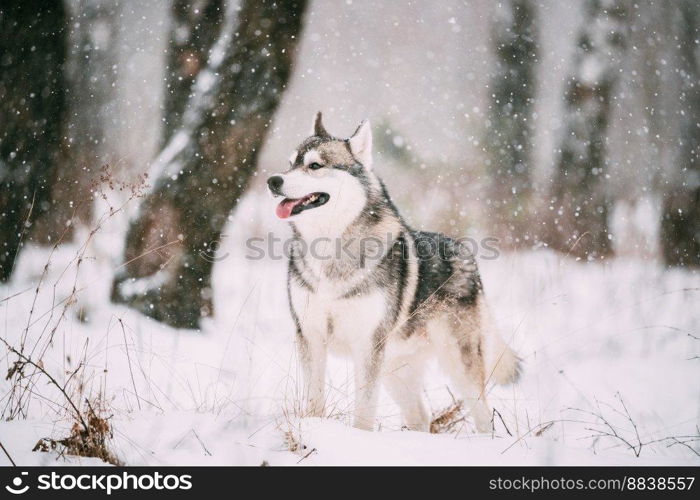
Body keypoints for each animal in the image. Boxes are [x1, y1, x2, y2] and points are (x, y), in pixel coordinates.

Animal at [268, 112, 520, 430]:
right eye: (290, 163)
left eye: (314, 165)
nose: (273, 180)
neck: (330, 249)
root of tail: (467, 255)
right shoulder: (310, 337)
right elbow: (314, 402)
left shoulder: (367, 345)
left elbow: (364, 410)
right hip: (395, 370)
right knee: (421, 416)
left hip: (458, 367)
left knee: (484, 416)